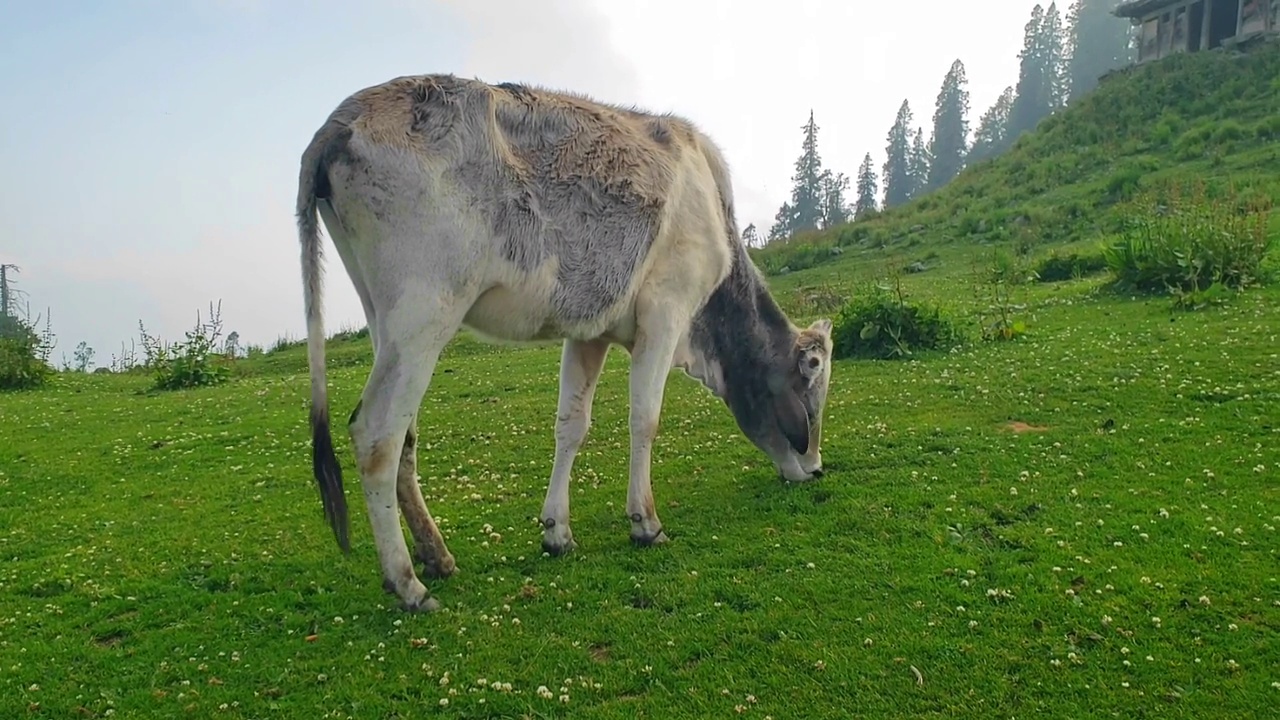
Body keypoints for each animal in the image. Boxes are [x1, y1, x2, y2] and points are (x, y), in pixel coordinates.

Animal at [299, 74, 839, 609]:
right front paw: (645, 522)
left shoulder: (589, 331)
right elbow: (645, 419)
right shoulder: (666, 310)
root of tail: (342, 117)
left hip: (387, 322)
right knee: (377, 434)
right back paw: (408, 581)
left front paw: (557, 531)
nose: (816, 469)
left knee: (405, 437)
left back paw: (437, 556)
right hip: (425, 313)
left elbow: (571, 425)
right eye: (813, 388)